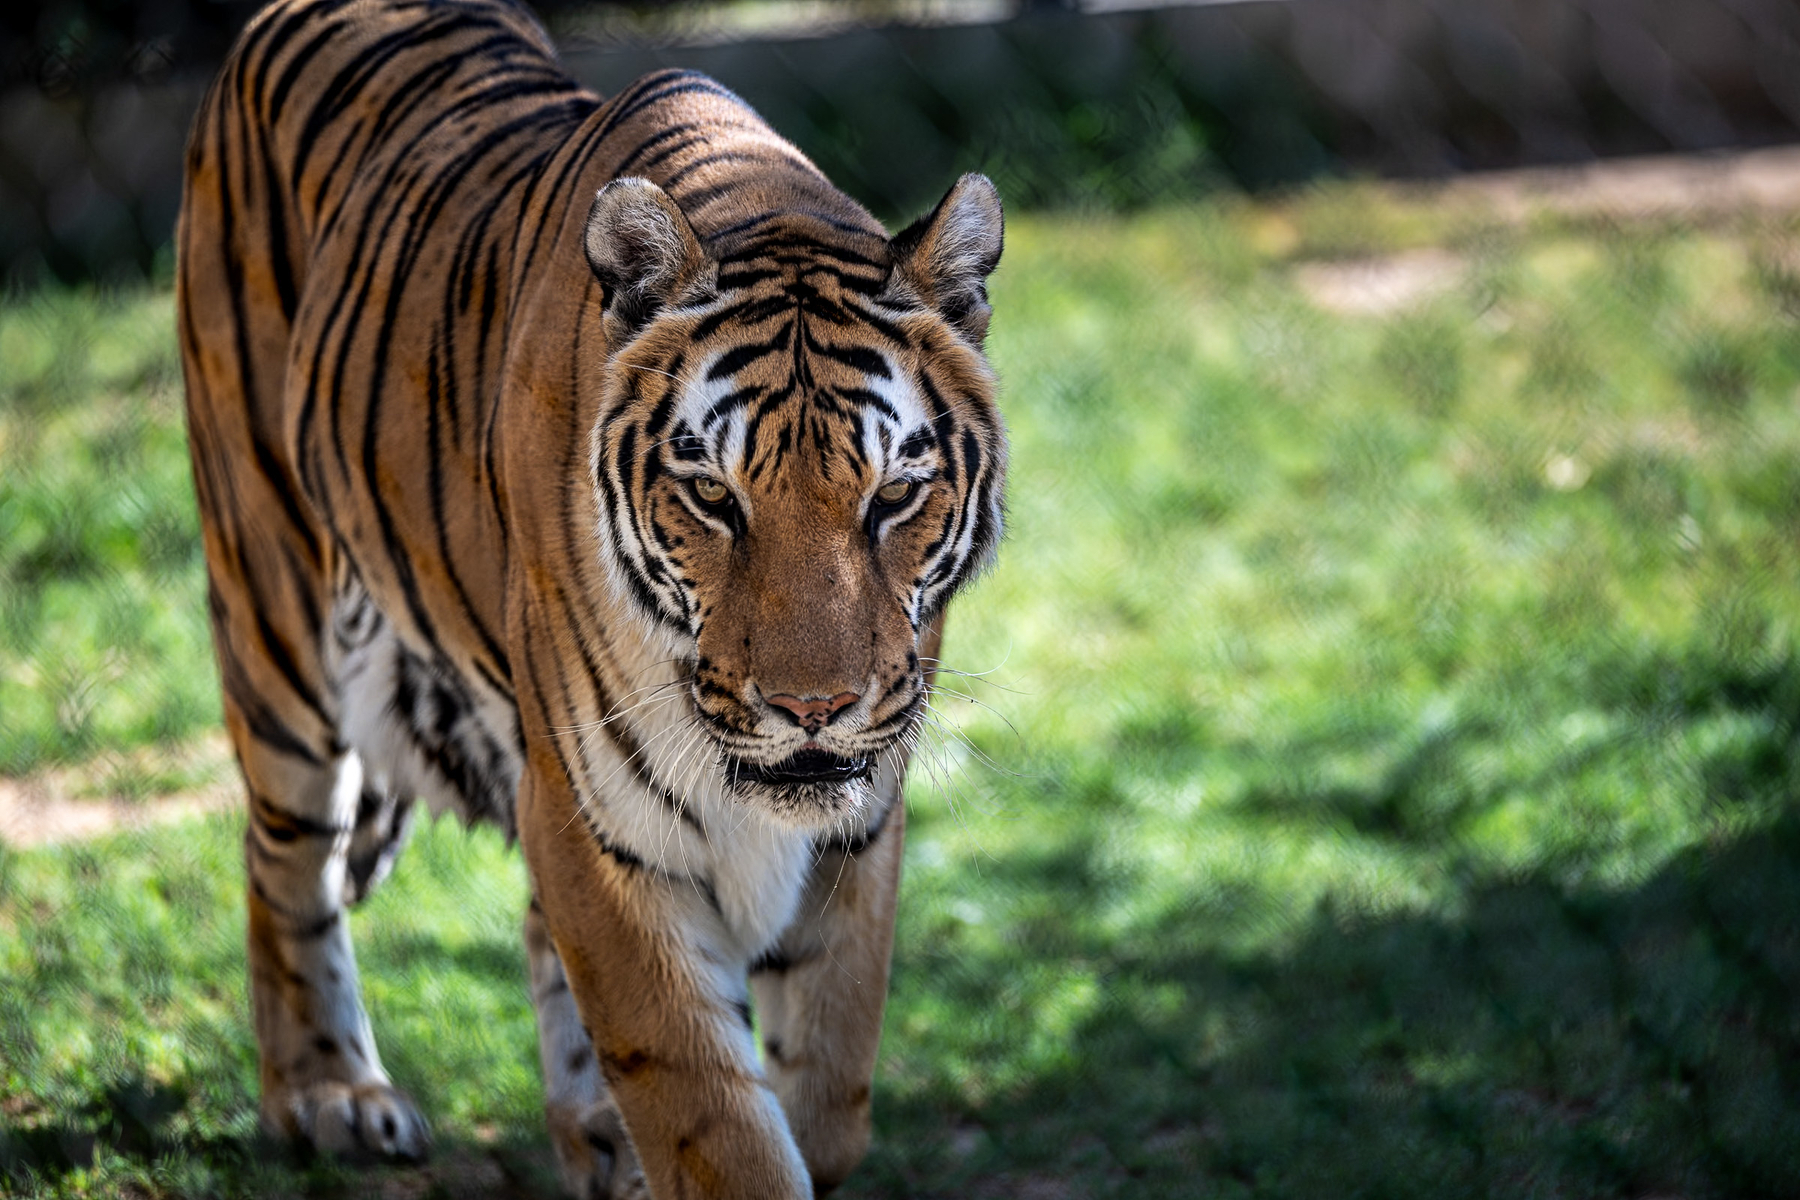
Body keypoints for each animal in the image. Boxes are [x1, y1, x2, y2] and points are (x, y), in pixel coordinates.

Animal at [173, 0, 1006, 1195]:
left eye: (894, 495)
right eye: (713, 496)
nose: (812, 709)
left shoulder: (862, 814)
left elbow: (828, 1096)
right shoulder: (597, 821)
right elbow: (719, 1124)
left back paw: (592, 1133)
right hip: (273, 600)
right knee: (283, 860)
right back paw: (329, 1095)